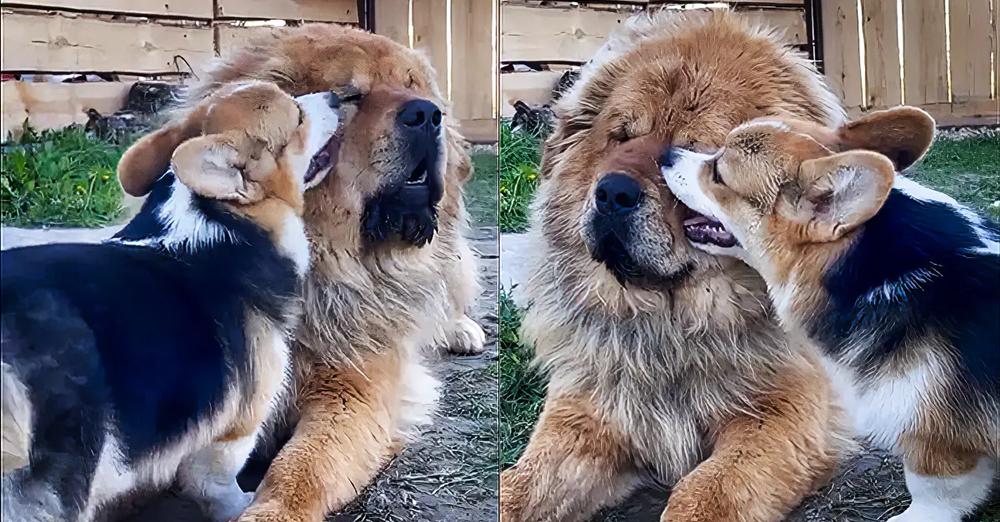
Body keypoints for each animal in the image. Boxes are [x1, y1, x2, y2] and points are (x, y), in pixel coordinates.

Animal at [117, 23, 484, 520]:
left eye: (416, 89)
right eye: (351, 94)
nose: (428, 114)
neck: (326, 268)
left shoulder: (353, 389)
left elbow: (303, 467)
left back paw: (460, 329)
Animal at [504, 11, 856, 520]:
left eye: (695, 157)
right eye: (621, 135)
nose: (612, 193)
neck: (670, 330)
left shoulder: (783, 412)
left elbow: (705, 491)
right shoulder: (587, 409)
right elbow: (519, 485)